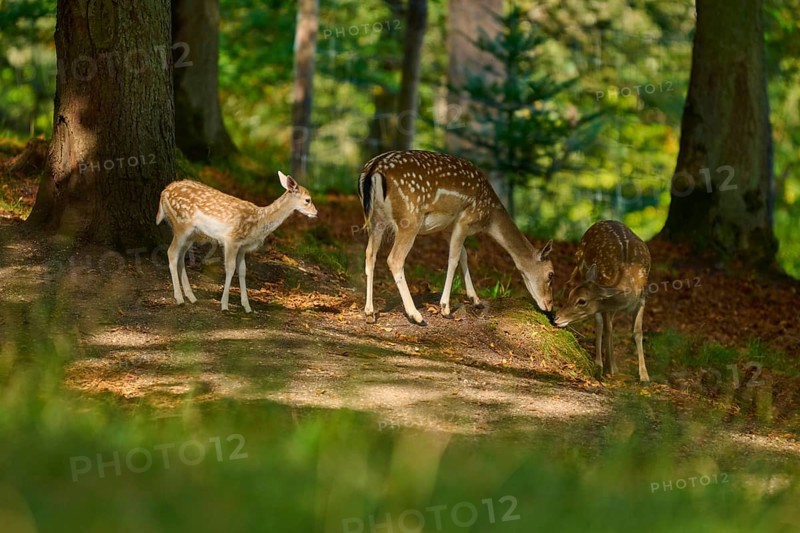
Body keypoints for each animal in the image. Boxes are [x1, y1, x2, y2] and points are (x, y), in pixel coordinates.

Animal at [155, 172, 317, 313]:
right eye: (307, 200)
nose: (316, 213)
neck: (259, 222)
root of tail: (164, 192)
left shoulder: (243, 247)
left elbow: (243, 271)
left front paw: (247, 307)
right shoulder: (231, 239)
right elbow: (230, 268)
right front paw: (224, 305)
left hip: (191, 233)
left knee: (181, 257)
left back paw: (191, 297)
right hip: (181, 224)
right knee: (171, 253)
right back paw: (179, 299)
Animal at [357, 150, 554, 325]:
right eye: (551, 274)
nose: (549, 306)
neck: (489, 216)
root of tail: (373, 169)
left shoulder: (446, 228)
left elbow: (463, 256)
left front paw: (476, 300)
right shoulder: (465, 220)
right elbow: (453, 258)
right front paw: (445, 308)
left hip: (376, 219)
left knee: (369, 254)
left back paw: (369, 313)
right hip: (409, 218)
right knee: (394, 259)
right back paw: (416, 315)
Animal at [553, 220, 651, 382]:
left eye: (582, 301)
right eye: (570, 295)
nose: (556, 317)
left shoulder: (641, 299)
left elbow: (637, 332)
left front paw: (644, 376)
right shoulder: (605, 303)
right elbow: (608, 330)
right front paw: (610, 369)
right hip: (581, 266)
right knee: (600, 325)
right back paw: (600, 363)